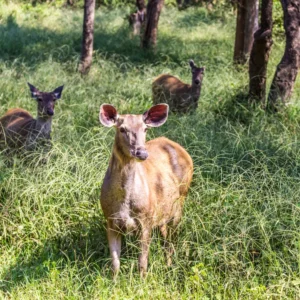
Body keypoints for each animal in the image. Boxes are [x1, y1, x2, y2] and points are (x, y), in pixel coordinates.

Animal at [99, 103, 193, 278]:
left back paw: (170, 267)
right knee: (165, 237)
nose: (142, 152)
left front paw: (142, 282)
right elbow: (115, 263)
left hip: (180, 201)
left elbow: (142, 262)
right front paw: (113, 282)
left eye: (145, 129)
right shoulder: (110, 220)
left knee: (171, 241)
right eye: (122, 129)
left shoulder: (146, 220)